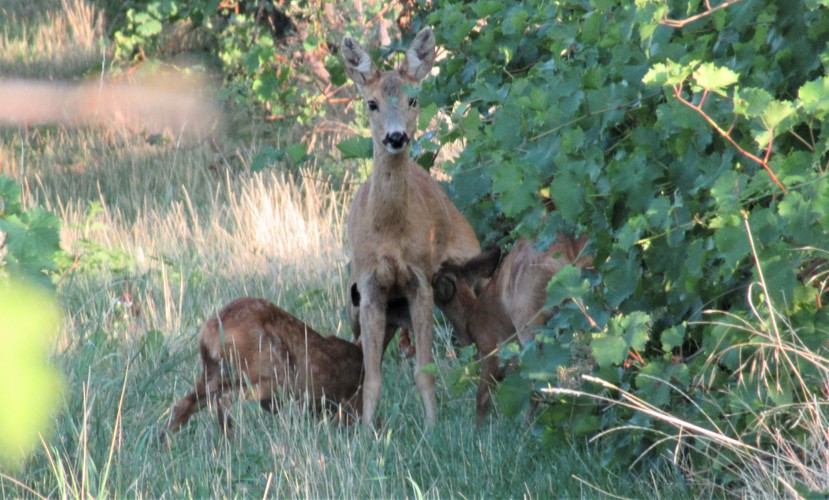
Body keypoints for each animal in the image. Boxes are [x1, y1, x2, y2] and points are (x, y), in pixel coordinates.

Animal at [342, 28, 482, 426]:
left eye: (413, 99)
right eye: (371, 103)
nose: (395, 137)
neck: (389, 234)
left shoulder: (421, 283)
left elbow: (425, 370)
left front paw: (433, 428)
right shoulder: (369, 287)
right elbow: (372, 375)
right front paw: (367, 433)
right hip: (354, 303)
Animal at [430, 236, 592, 424]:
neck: (473, 319)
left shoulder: (492, 350)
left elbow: (482, 395)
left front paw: (479, 428)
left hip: (527, 317)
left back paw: (526, 424)